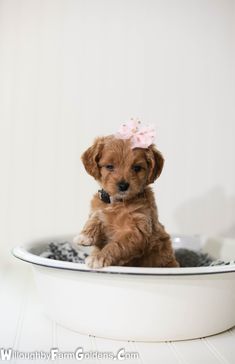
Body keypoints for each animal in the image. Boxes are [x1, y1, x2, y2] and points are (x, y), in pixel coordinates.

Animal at [73, 122, 178, 268]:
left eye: (137, 168)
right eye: (109, 166)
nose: (123, 186)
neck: (118, 203)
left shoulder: (137, 231)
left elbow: (117, 245)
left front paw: (99, 257)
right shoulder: (100, 209)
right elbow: (95, 217)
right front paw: (84, 235)